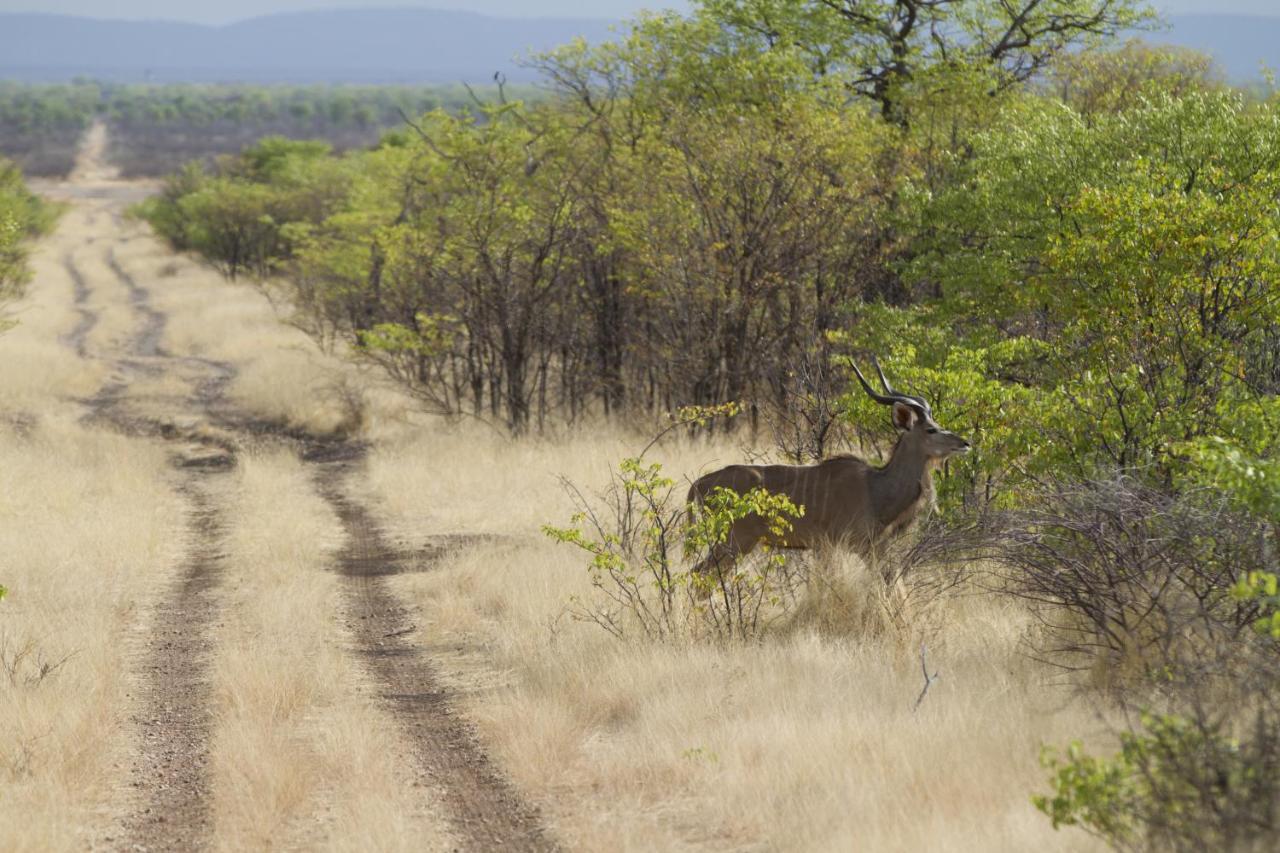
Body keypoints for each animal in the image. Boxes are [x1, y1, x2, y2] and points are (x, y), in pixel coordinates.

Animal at [691, 356, 967, 573]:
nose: (965, 443)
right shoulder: (851, 547)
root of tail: (697, 486)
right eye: (931, 429)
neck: (876, 488)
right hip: (736, 541)